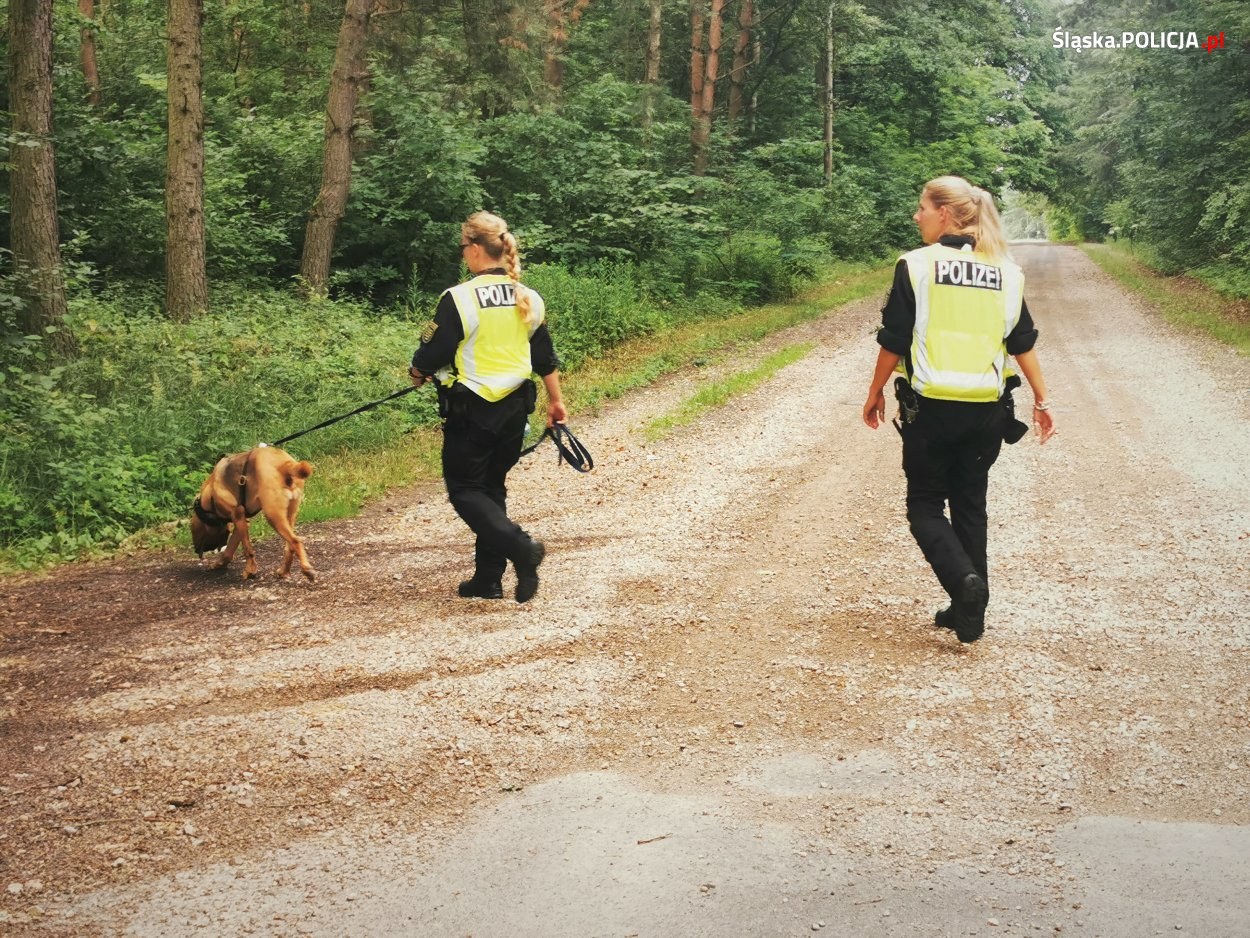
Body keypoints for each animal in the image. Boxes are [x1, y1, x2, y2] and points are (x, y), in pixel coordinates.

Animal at [191, 445, 317, 580]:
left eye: (194, 532)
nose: (196, 550)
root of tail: (285, 464)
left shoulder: (238, 514)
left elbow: (247, 549)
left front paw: (250, 570)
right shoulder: (241, 520)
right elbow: (229, 551)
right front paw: (219, 563)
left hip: (273, 516)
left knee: (295, 541)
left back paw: (307, 570)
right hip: (290, 515)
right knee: (290, 547)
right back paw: (284, 571)